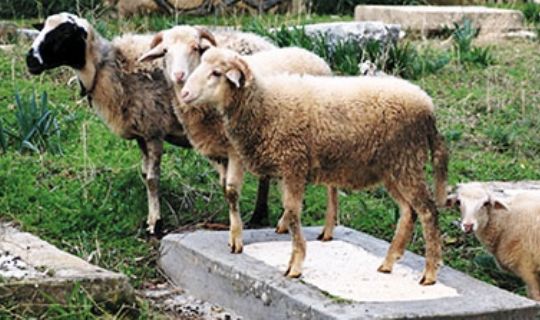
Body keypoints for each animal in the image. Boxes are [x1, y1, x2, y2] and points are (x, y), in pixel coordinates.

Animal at [139, 26, 340, 252]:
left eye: (195, 48)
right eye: (165, 51)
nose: (179, 75)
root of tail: (316, 57)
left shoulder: (235, 151)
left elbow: (232, 191)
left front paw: (236, 238)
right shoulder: (217, 153)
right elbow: (225, 188)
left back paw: (326, 229)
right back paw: (284, 223)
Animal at [179, 46, 450, 284]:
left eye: (216, 73)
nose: (184, 94)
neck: (262, 104)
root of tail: (428, 106)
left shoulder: (293, 164)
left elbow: (292, 213)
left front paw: (296, 265)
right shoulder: (286, 169)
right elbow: (289, 213)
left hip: (407, 160)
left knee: (427, 211)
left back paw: (429, 274)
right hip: (393, 168)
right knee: (407, 211)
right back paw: (388, 262)